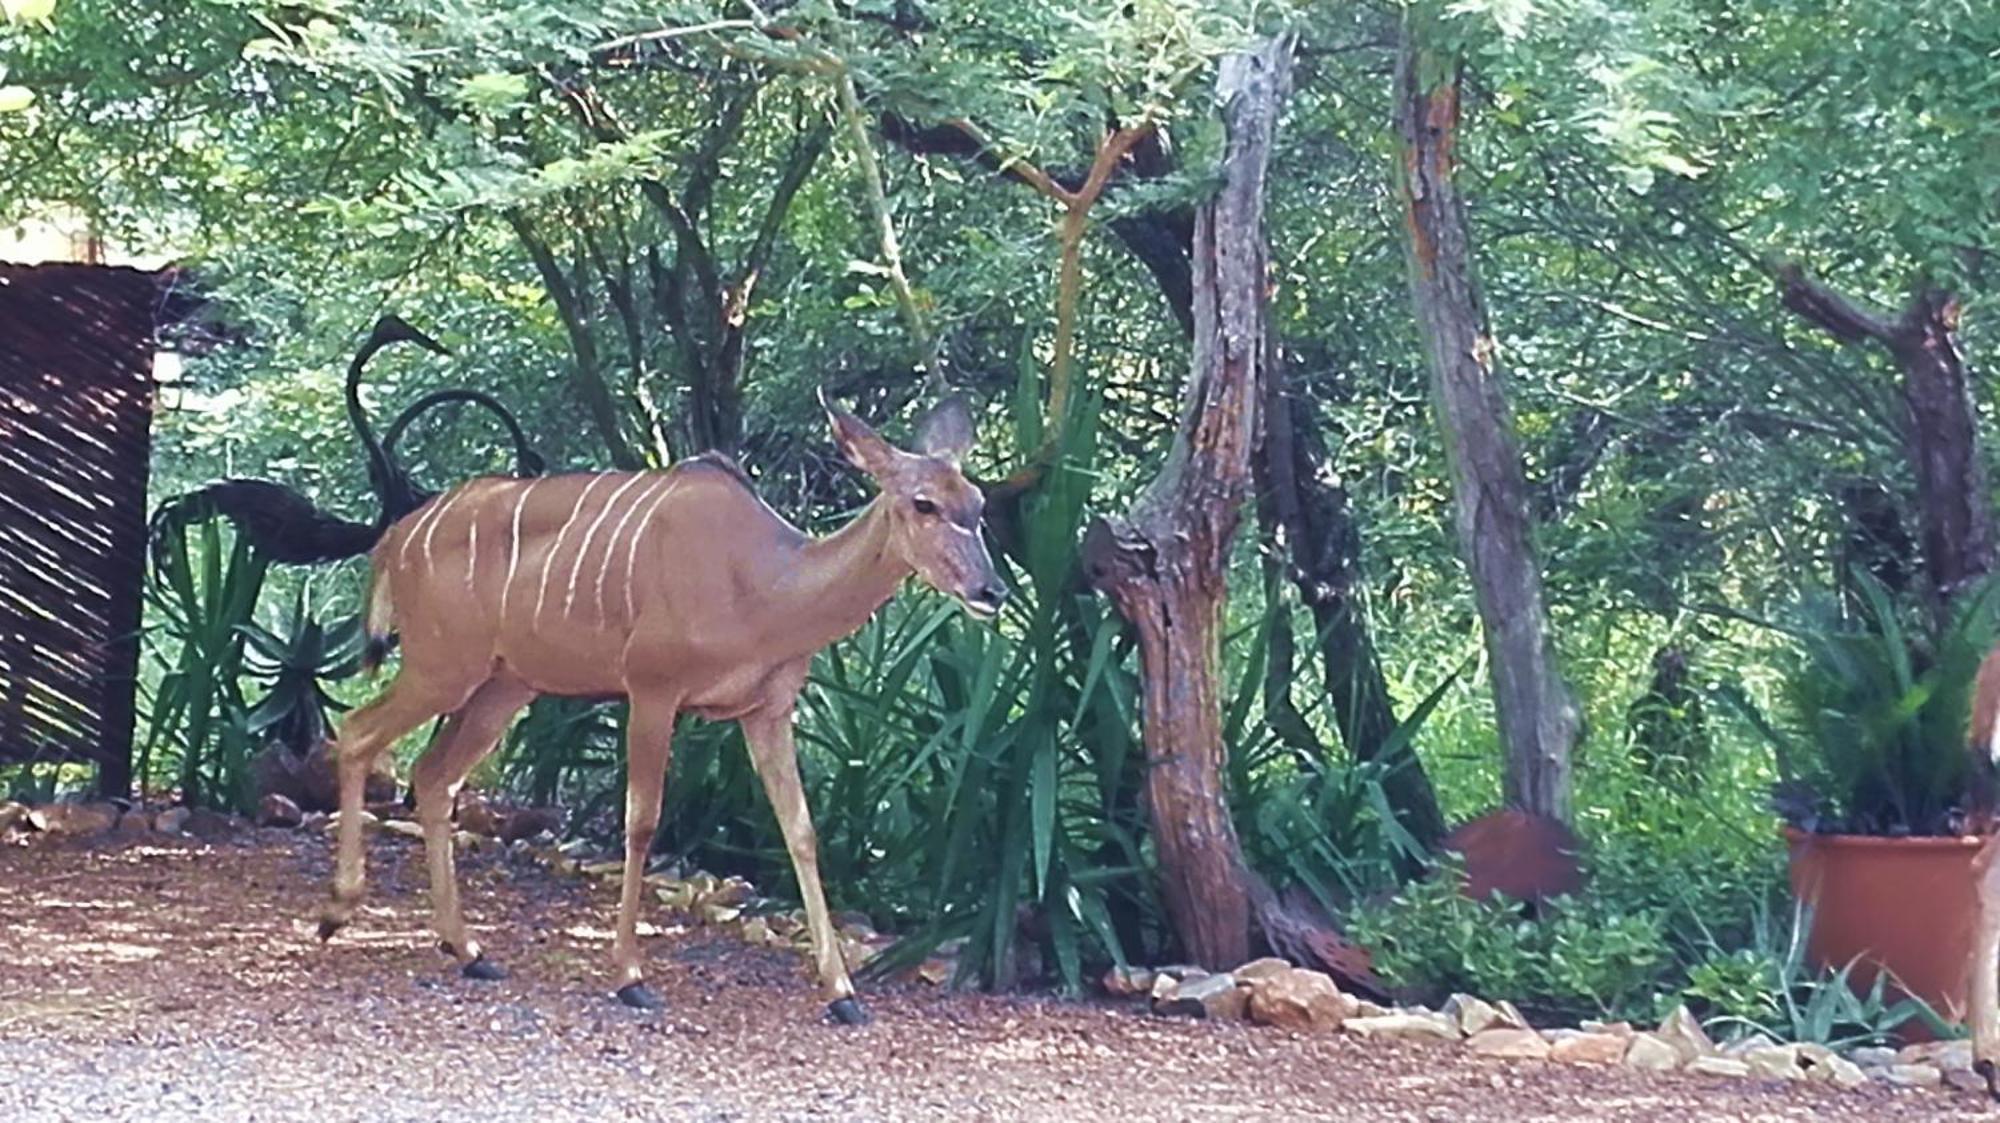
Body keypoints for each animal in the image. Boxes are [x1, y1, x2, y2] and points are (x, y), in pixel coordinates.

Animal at [320, 391, 1008, 1015]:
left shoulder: (767, 709)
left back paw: (468, 950)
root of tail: (392, 540)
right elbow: (642, 821)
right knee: (356, 732)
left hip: (504, 683)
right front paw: (630, 976)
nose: (992, 590)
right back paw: (338, 911)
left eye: (978, 505)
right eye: (923, 503)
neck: (763, 586)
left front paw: (841, 992)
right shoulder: (652, 688)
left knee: (434, 774)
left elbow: (801, 830)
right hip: (441, 667)